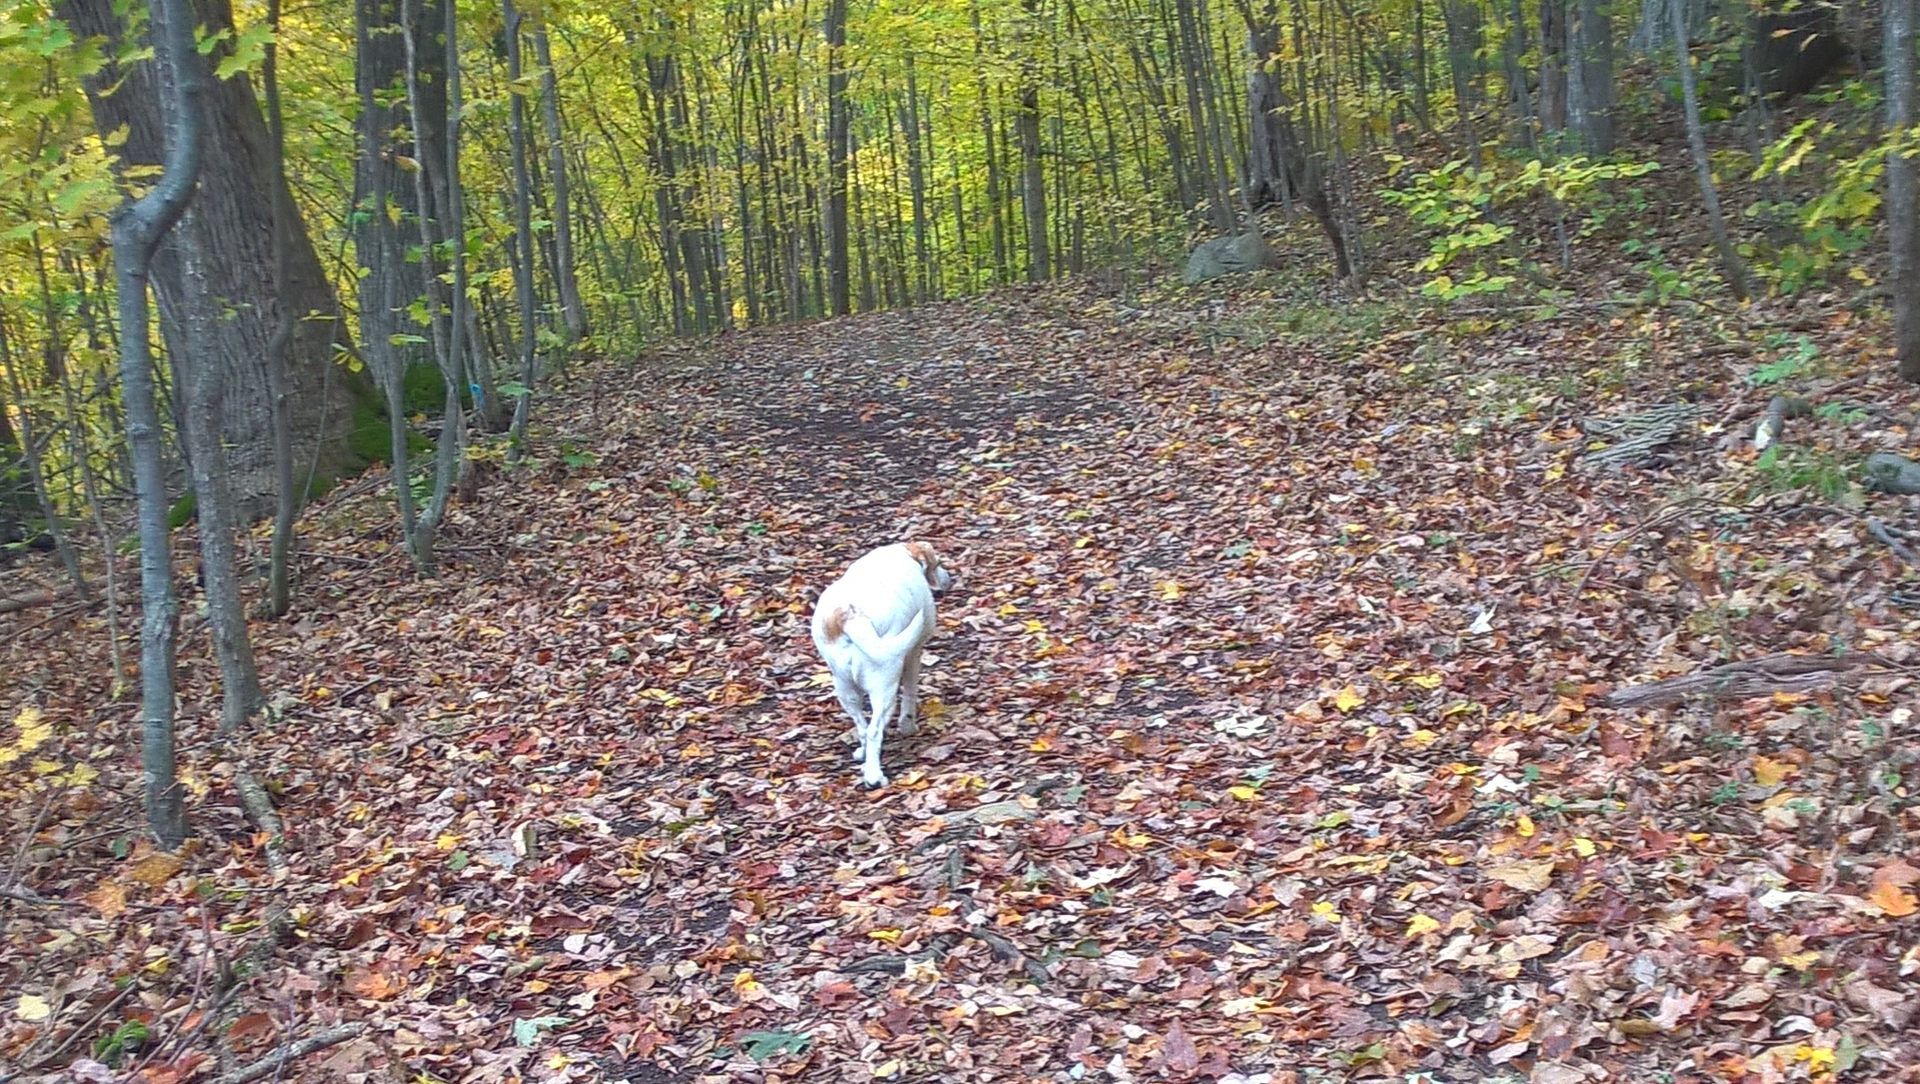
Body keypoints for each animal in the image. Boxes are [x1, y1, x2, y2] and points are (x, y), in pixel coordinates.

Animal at [810, 541, 952, 786]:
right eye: (938, 563)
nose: (948, 578)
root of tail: (850, 616)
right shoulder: (914, 654)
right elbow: (910, 695)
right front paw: (908, 727)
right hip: (884, 688)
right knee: (874, 730)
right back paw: (874, 777)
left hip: (844, 688)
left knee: (862, 727)